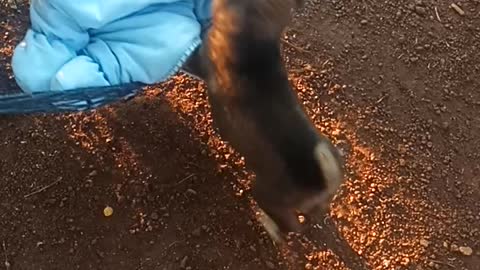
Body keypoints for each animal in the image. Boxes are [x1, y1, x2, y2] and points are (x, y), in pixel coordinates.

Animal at [200, 0, 344, 243]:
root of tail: (323, 178)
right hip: (317, 202)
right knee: (311, 217)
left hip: (265, 194)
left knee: (291, 227)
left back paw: (267, 224)